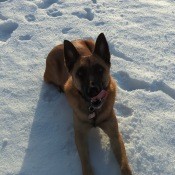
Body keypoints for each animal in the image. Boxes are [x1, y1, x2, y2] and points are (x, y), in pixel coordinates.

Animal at [43, 33, 131, 175]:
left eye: (100, 70)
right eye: (80, 73)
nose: (93, 90)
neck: (93, 111)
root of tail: (60, 45)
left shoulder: (115, 135)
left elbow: (124, 164)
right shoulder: (80, 135)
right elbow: (86, 163)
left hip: (91, 42)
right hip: (51, 71)